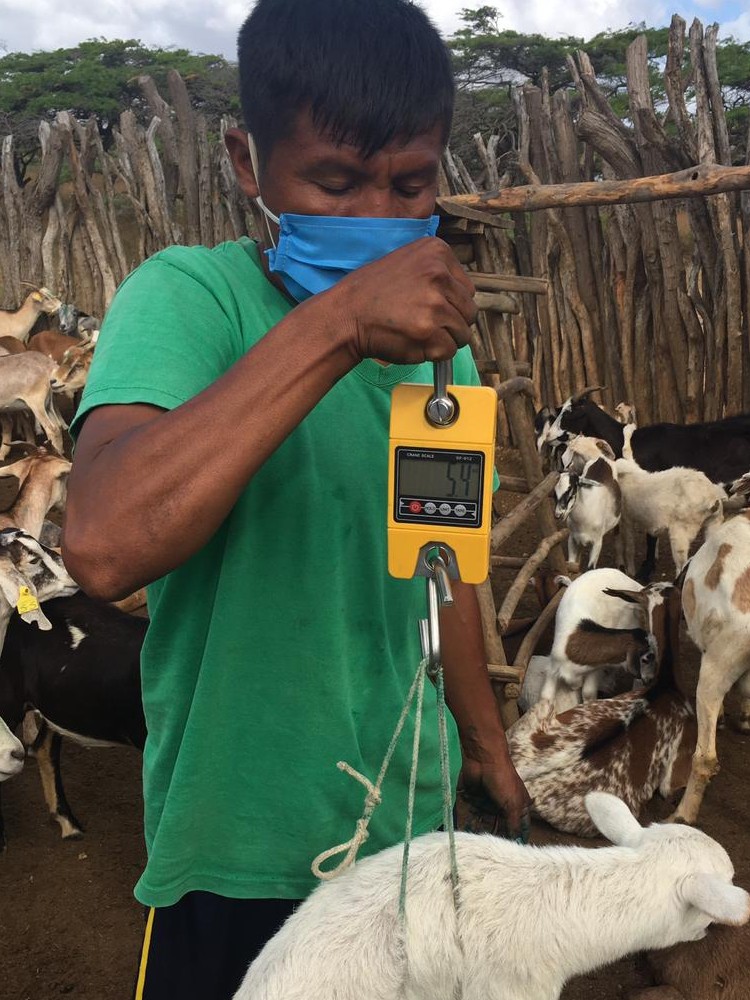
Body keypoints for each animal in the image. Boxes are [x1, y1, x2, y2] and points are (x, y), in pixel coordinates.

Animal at [540, 572, 652, 704]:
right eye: (645, 656)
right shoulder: (553, 666)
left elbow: (588, 693)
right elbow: (545, 697)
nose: (648, 681)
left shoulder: (594, 669)